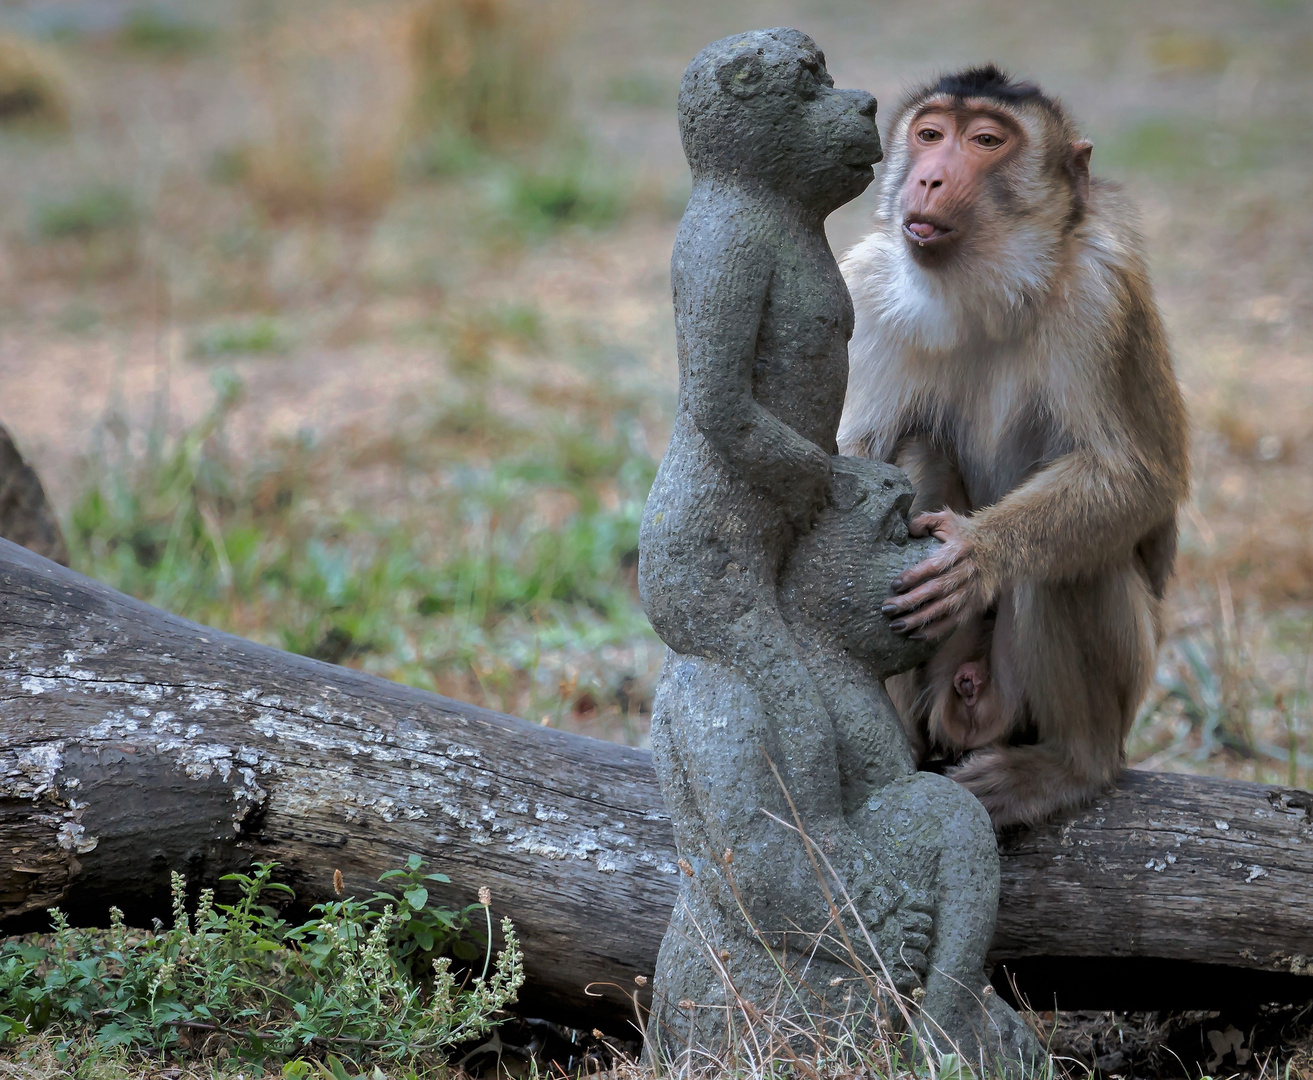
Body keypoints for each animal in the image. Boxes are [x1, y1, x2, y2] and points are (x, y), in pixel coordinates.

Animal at [840, 65, 1192, 829]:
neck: (988, 290)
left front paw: (978, 556)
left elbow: (1134, 479)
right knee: (917, 452)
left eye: (984, 141)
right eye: (929, 134)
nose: (930, 178)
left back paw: (1070, 766)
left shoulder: (1102, 293)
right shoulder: (866, 291)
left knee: (1075, 562)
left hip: (1106, 685)